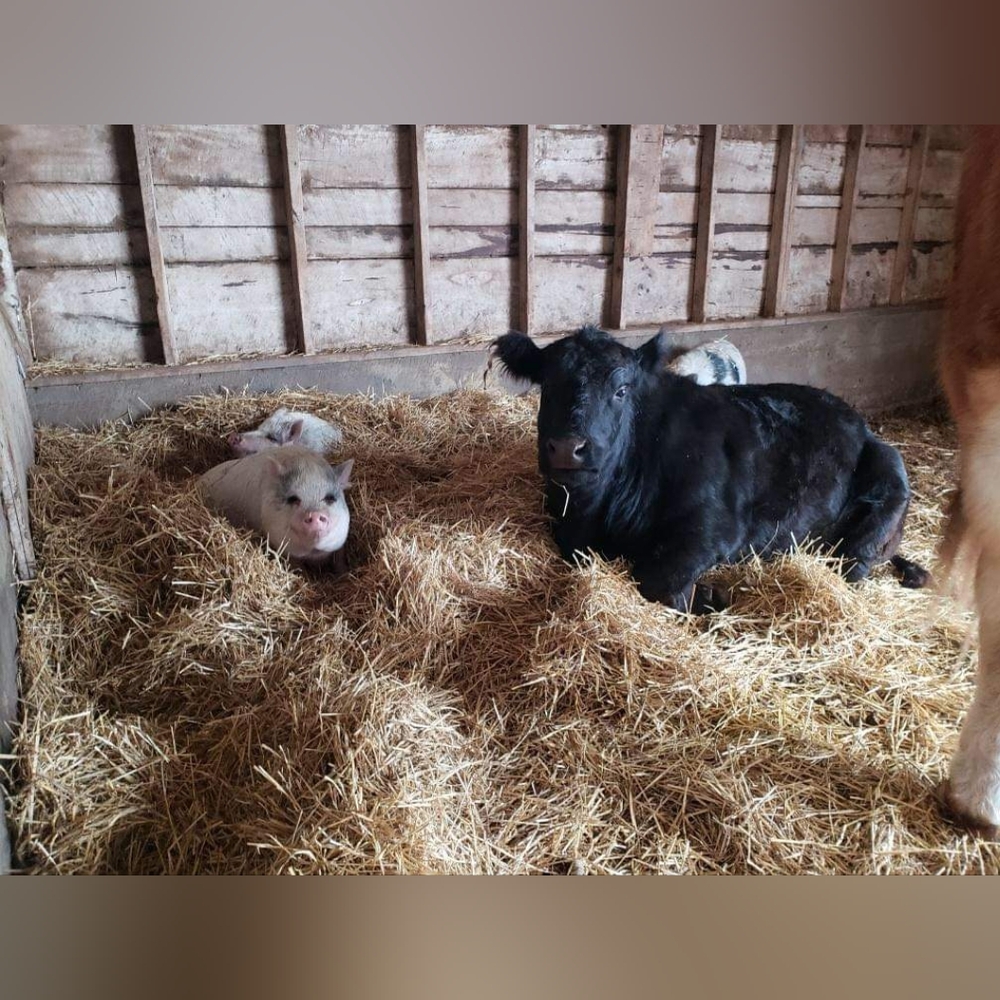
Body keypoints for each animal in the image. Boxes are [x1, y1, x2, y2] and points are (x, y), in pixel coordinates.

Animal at [492, 325, 929, 613]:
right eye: (547, 385)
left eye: (621, 390)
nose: (569, 448)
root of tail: (855, 418)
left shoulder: (712, 530)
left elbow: (657, 580)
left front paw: (707, 595)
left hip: (884, 487)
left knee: (854, 562)